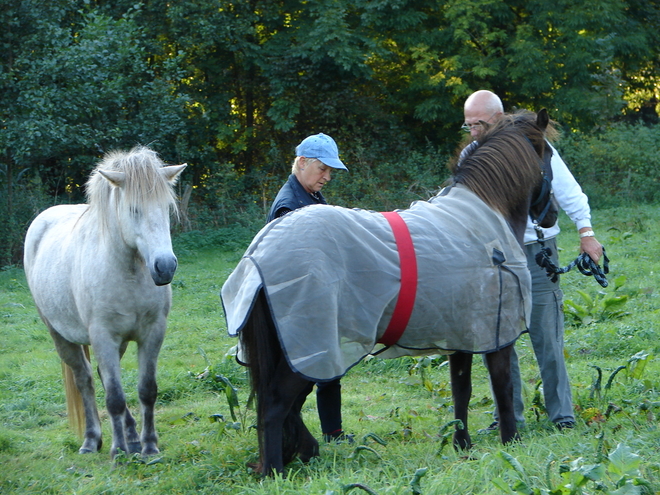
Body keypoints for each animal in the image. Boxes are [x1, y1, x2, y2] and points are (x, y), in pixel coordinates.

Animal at [23, 145, 186, 460]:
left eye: (165, 208)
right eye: (134, 209)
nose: (165, 267)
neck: (129, 271)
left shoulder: (152, 333)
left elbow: (147, 390)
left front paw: (149, 446)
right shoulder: (102, 336)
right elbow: (114, 398)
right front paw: (118, 452)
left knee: (102, 376)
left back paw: (132, 437)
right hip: (61, 335)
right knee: (85, 379)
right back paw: (92, 440)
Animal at [222, 109, 556, 476]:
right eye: (550, 155)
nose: (553, 213)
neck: (485, 218)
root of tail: (260, 253)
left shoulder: (461, 336)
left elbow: (461, 390)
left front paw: (462, 444)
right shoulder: (497, 334)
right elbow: (503, 387)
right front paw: (511, 442)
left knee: (287, 405)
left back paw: (302, 451)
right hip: (311, 351)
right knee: (276, 403)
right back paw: (275, 469)